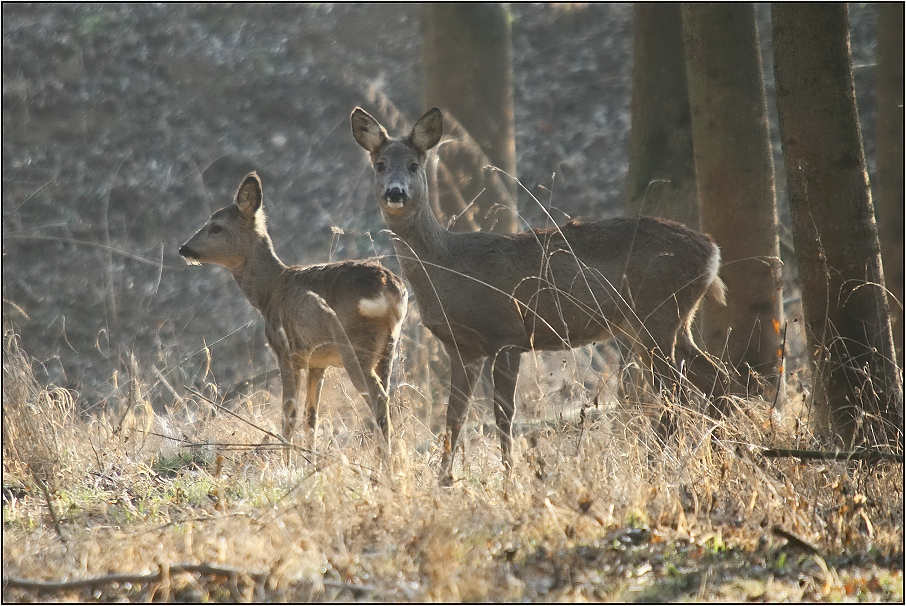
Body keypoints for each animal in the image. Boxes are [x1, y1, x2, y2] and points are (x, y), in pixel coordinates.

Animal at [180, 173, 406, 454]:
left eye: (216, 227)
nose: (184, 248)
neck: (269, 291)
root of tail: (391, 287)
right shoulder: (318, 362)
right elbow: (311, 416)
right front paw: (310, 456)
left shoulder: (286, 351)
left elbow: (289, 414)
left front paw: (286, 459)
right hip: (388, 347)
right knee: (387, 396)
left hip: (355, 345)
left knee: (378, 396)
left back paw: (385, 459)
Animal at [350, 107, 732, 486]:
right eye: (380, 164)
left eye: (414, 165)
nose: (396, 192)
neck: (449, 266)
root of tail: (711, 253)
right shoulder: (462, 347)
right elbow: (454, 416)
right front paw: (444, 481)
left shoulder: (507, 333)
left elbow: (503, 414)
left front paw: (510, 478)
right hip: (665, 322)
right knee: (713, 376)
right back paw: (720, 454)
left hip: (656, 314)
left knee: (675, 394)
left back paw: (660, 466)